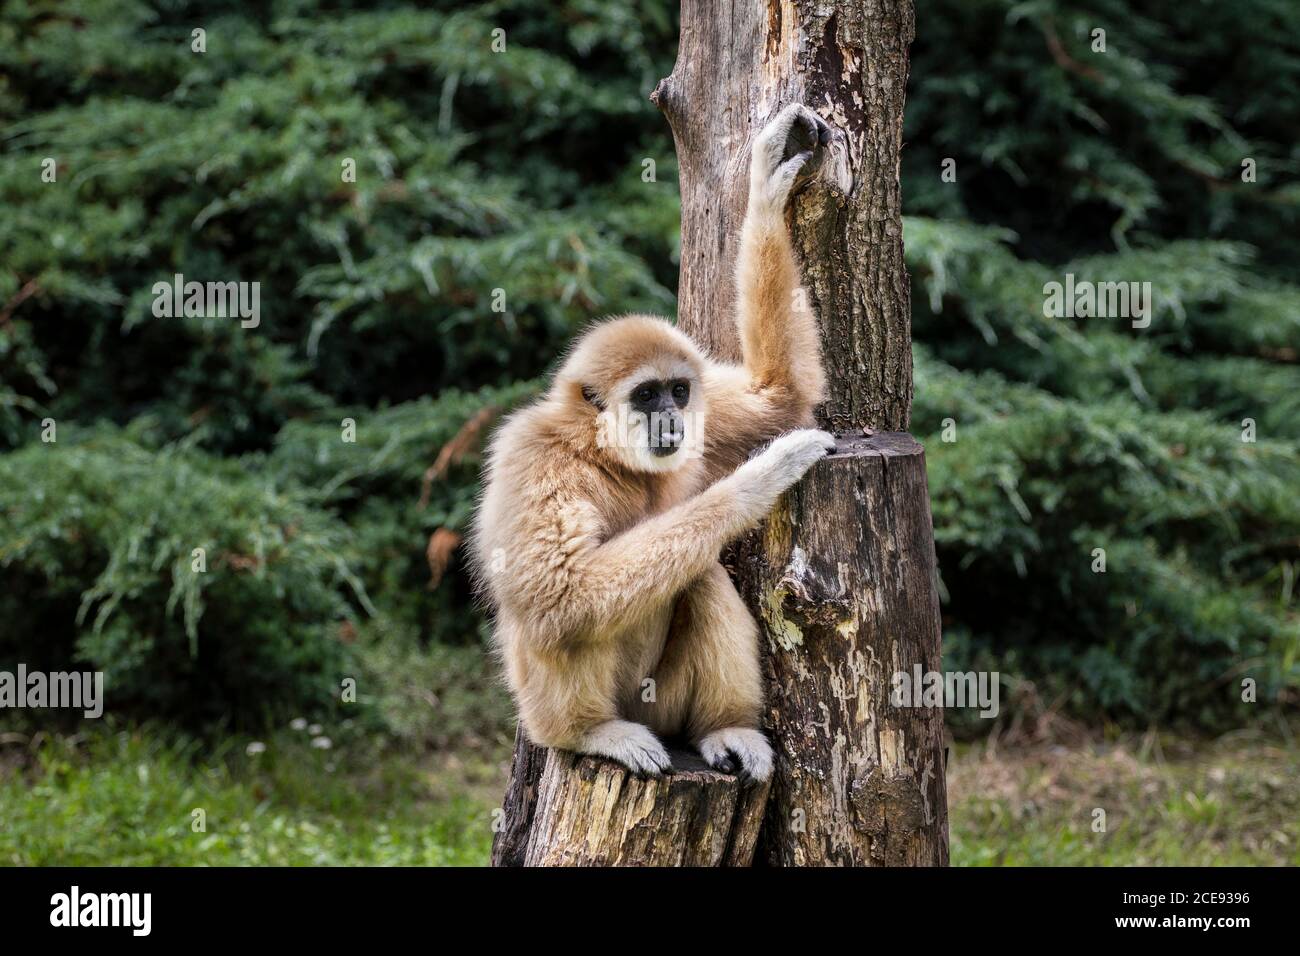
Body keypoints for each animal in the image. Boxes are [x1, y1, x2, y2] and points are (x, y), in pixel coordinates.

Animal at [470, 103, 834, 780]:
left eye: (678, 391)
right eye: (645, 396)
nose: (669, 414)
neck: (599, 452)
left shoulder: (711, 412)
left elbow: (780, 396)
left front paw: (766, 185)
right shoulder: (532, 456)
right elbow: (557, 592)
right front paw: (761, 477)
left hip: (663, 705)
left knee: (701, 576)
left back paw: (726, 728)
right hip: (546, 711)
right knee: (570, 617)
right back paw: (592, 733)